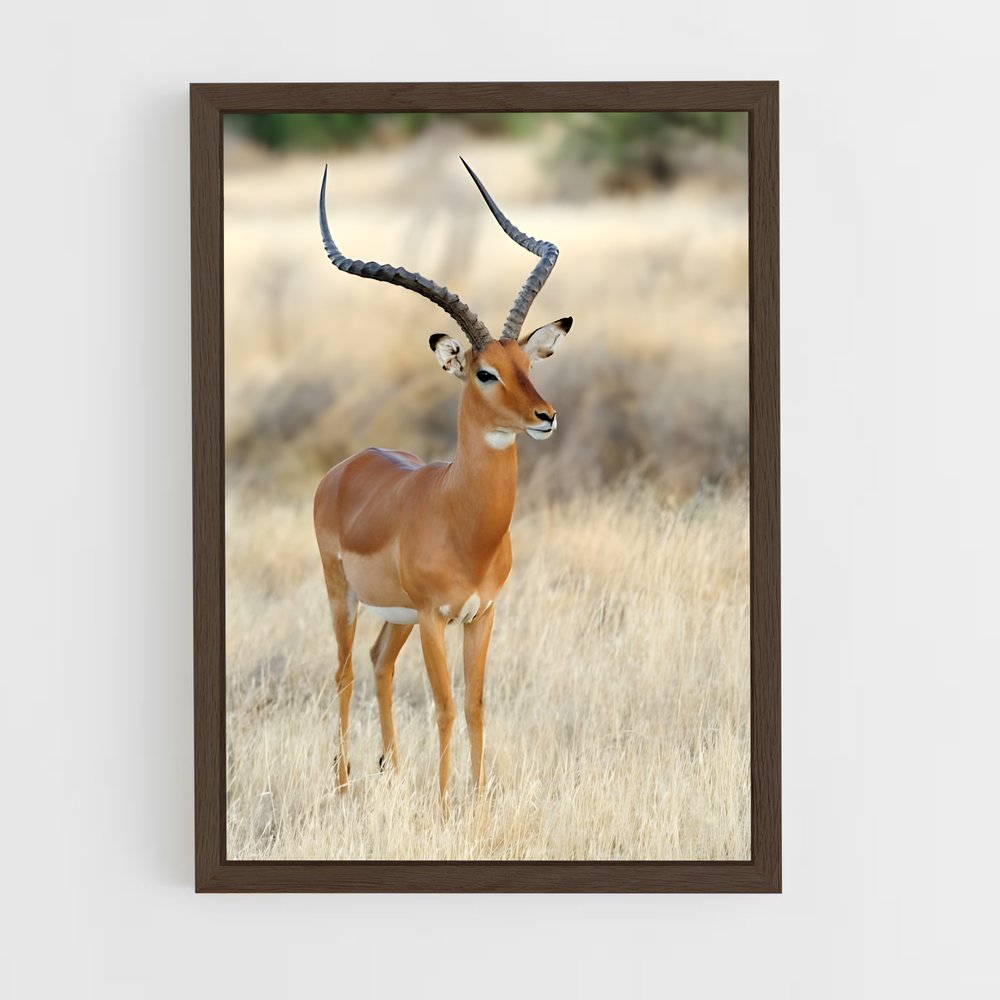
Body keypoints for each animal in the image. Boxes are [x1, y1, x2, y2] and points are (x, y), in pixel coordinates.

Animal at [314, 158, 570, 812]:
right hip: (344, 595)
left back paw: (392, 772)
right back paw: (344, 784)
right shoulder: (435, 617)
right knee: (345, 672)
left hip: (397, 616)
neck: (464, 522)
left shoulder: (482, 615)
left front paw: (475, 803)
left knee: (378, 662)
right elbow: (447, 706)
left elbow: (476, 706)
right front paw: (447, 806)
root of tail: (345, 467)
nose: (546, 416)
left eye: (527, 366)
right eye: (485, 373)